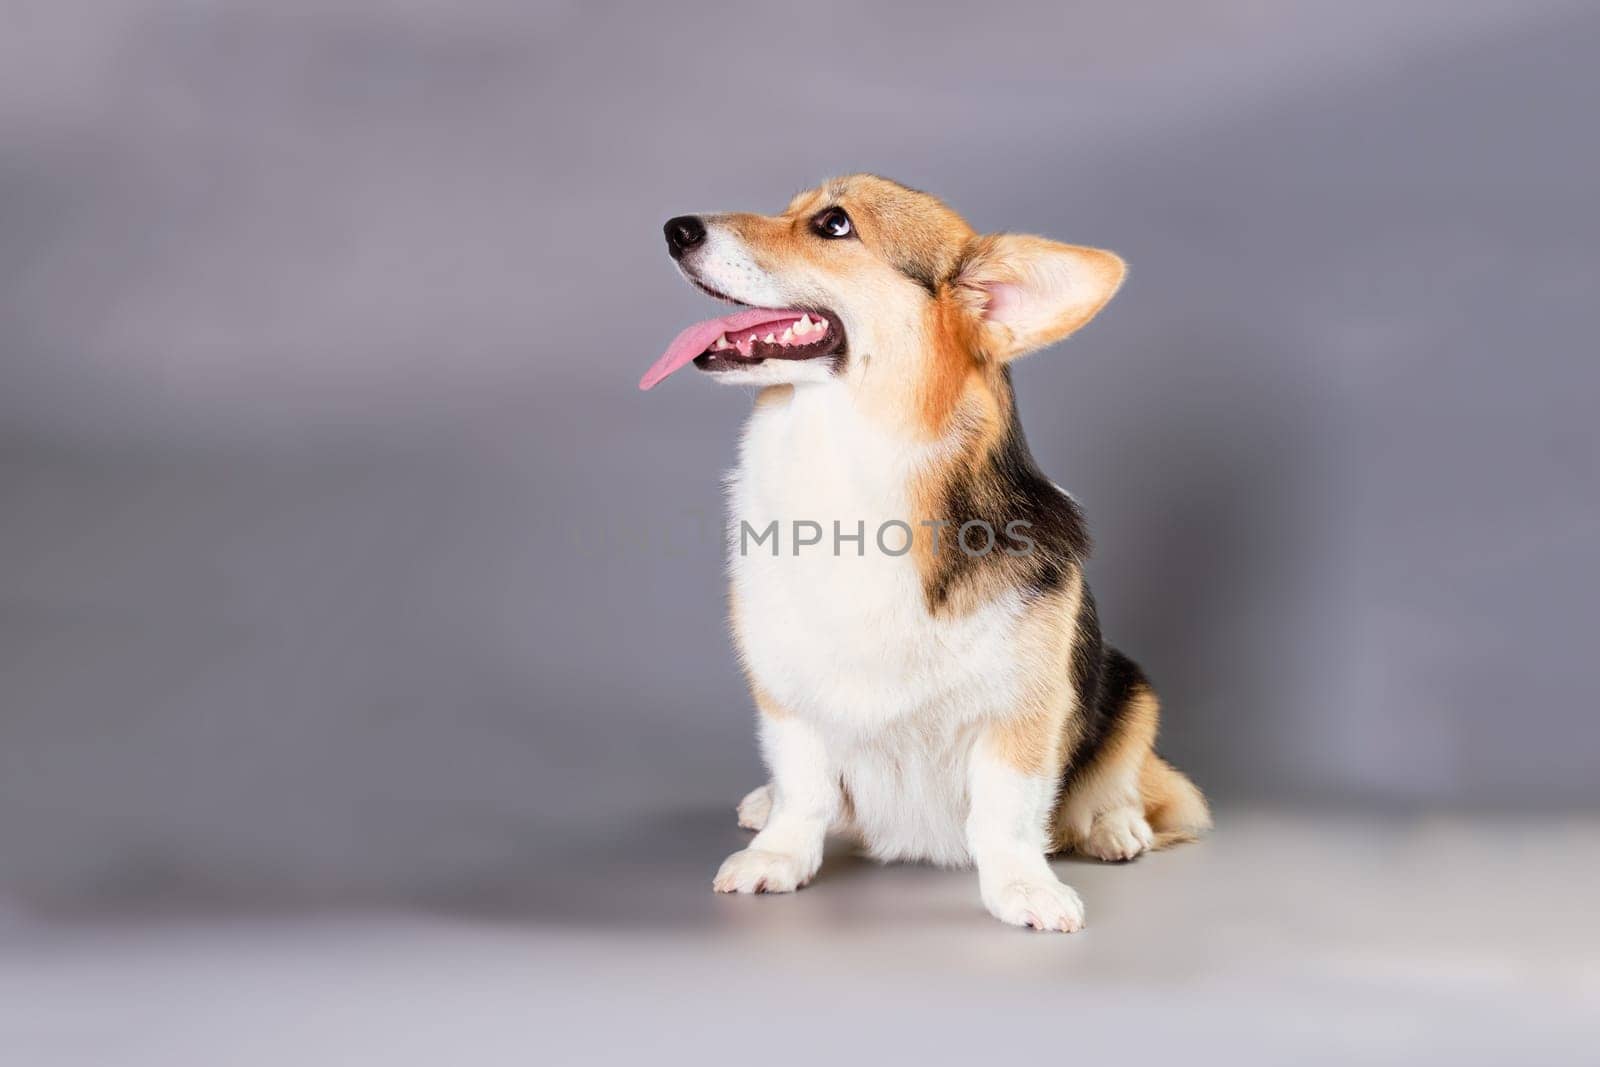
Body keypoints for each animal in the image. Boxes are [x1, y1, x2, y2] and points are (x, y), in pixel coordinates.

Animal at [643, 173, 1203, 927]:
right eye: (791, 207)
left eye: (833, 224)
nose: (676, 228)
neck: (848, 459)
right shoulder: (786, 693)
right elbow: (804, 785)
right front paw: (778, 855)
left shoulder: (1022, 709)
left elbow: (1005, 811)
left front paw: (1024, 889)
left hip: (1131, 688)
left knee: (1130, 784)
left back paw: (1116, 828)